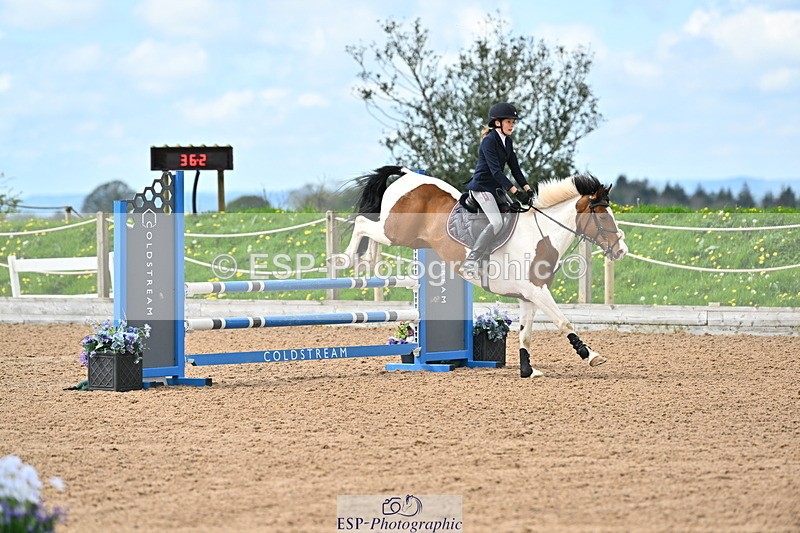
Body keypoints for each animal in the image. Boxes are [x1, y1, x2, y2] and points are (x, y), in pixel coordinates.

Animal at [339, 165, 628, 378]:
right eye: (604, 217)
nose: (621, 250)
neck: (541, 234)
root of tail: (409, 175)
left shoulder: (529, 296)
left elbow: (525, 333)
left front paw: (527, 370)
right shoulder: (537, 290)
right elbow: (563, 321)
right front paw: (591, 355)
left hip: (403, 236)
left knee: (370, 229)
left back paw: (368, 260)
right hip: (397, 231)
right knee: (363, 222)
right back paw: (349, 259)